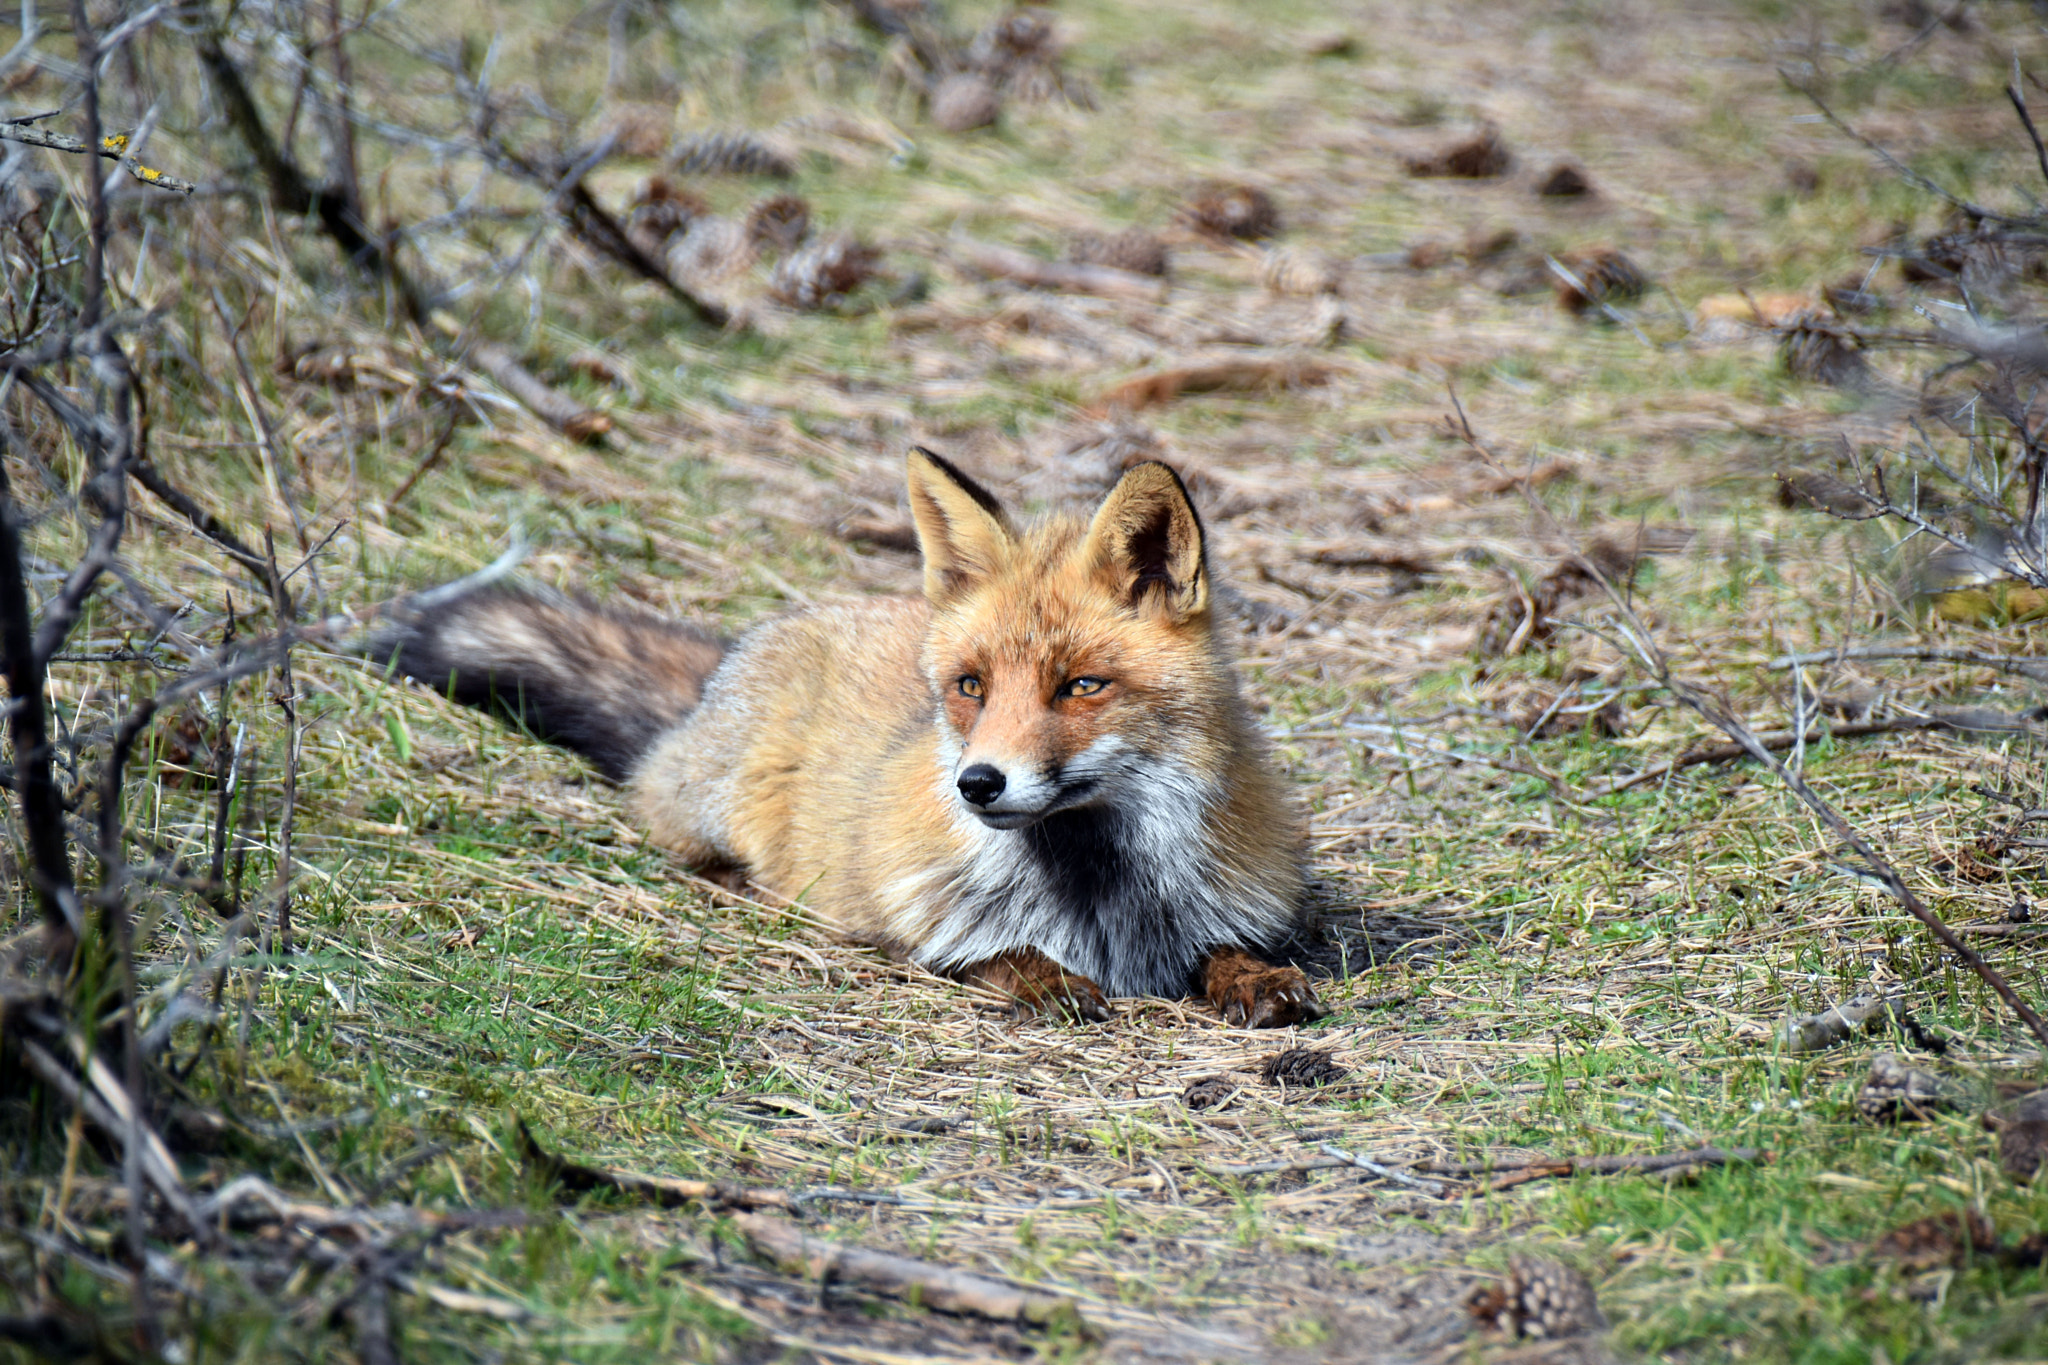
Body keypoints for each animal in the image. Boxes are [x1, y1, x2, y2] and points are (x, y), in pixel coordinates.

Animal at [386, 449, 1323, 1027]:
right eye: (971, 686)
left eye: (1081, 685)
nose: (978, 783)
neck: (1098, 893)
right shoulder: (915, 913)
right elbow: (991, 951)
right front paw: (1046, 979)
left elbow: (1231, 949)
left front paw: (1258, 979)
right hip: (727, 803)